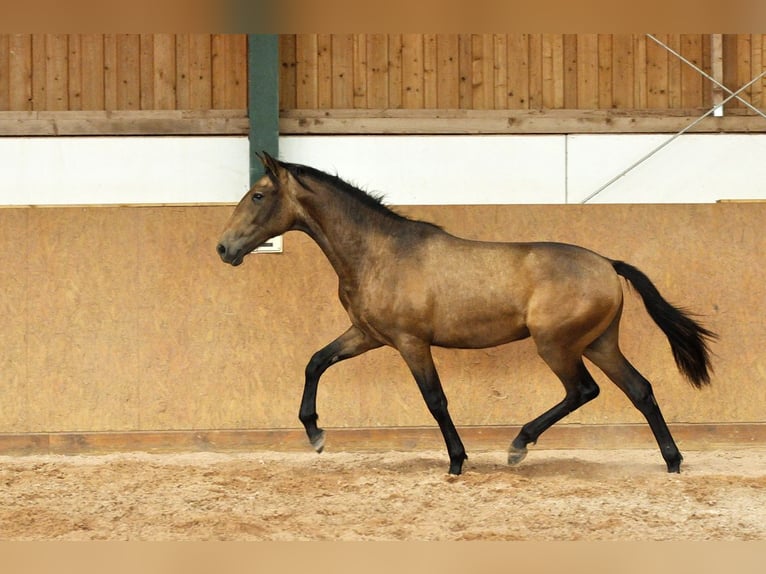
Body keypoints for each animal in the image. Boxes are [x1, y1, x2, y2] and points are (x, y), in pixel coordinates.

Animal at [216, 152, 716, 475]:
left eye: (258, 195)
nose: (224, 248)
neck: (379, 252)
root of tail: (609, 265)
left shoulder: (410, 343)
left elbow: (435, 400)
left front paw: (457, 461)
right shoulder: (366, 334)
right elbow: (316, 362)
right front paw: (315, 433)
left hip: (557, 346)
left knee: (583, 390)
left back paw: (518, 446)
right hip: (598, 343)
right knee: (640, 389)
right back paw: (672, 462)